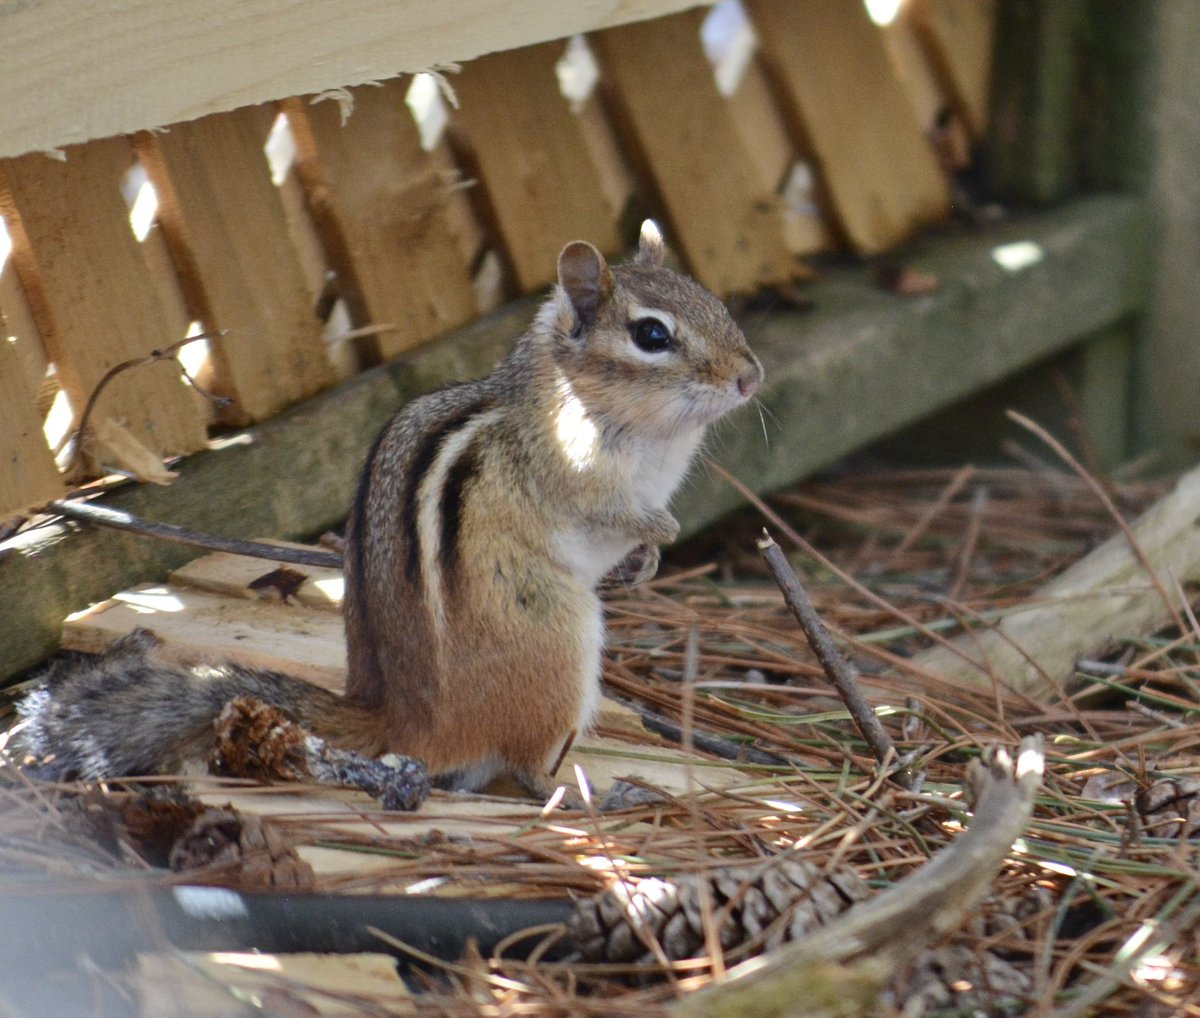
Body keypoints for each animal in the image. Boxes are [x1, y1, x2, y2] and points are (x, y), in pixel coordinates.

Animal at [16, 221, 764, 803]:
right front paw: (658, 532)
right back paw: (597, 794)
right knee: (526, 769)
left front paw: (649, 558)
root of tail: (406, 721)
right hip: (561, 651)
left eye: (713, 303)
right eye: (651, 335)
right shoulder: (569, 473)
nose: (750, 376)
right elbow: (609, 512)